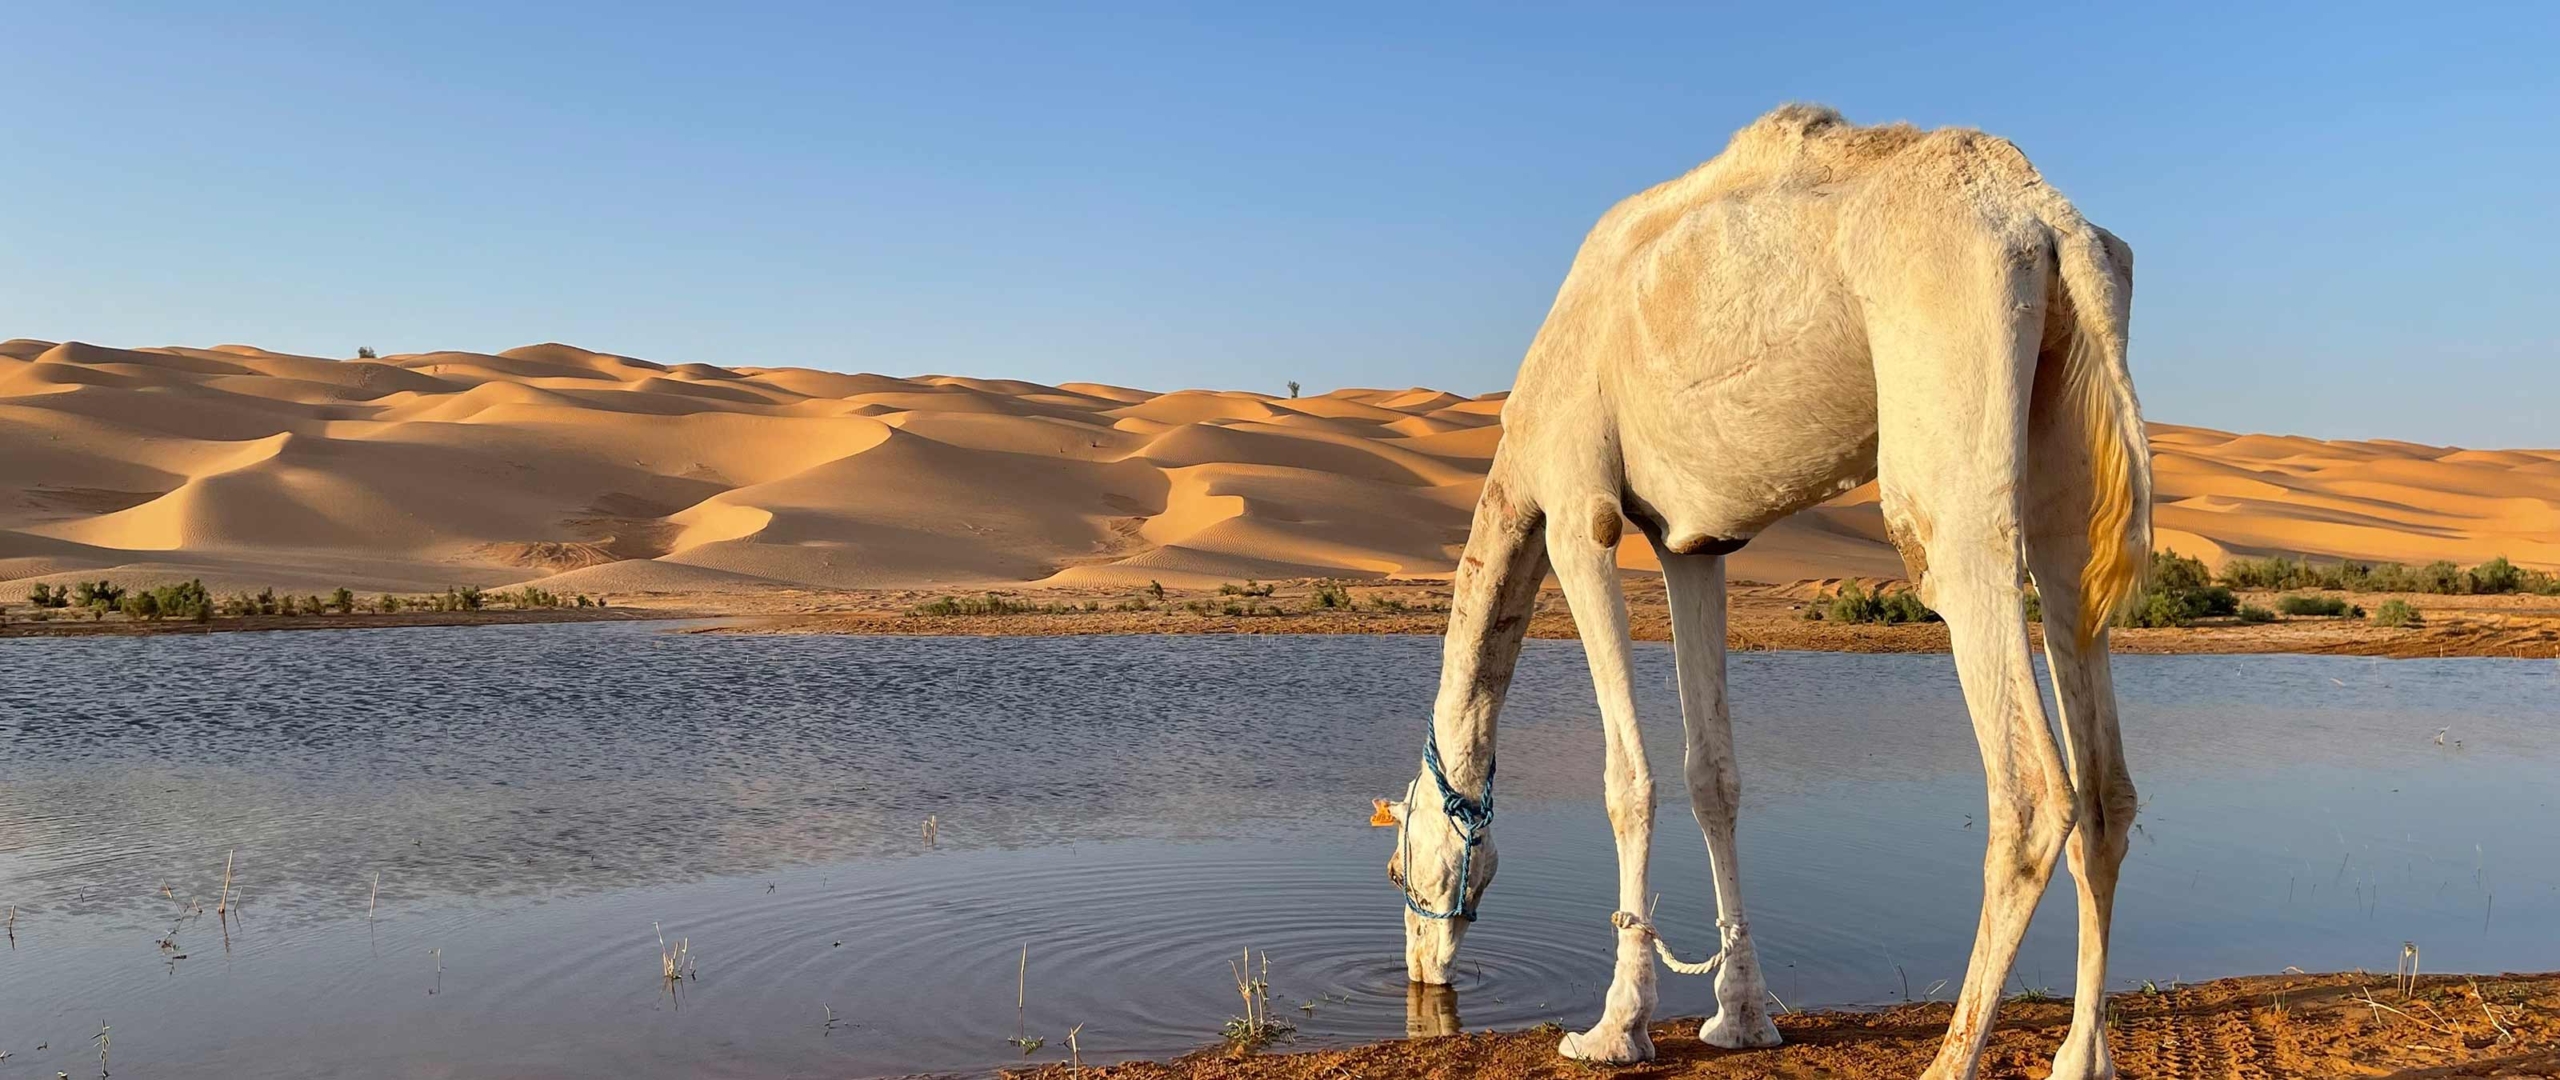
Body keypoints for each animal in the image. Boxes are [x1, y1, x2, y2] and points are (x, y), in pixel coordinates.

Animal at [1380, 104, 2149, 1080]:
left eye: (1399, 867)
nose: (1419, 969)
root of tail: (2049, 224)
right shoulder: (1694, 543)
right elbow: (1713, 776)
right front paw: (1739, 1018)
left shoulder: (1576, 512)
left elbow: (1627, 781)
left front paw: (1613, 1028)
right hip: (2067, 435)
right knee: (2103, 772)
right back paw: (2081, 1056)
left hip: (1949, 438)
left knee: (2029, 785)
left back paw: (1950, 1059)